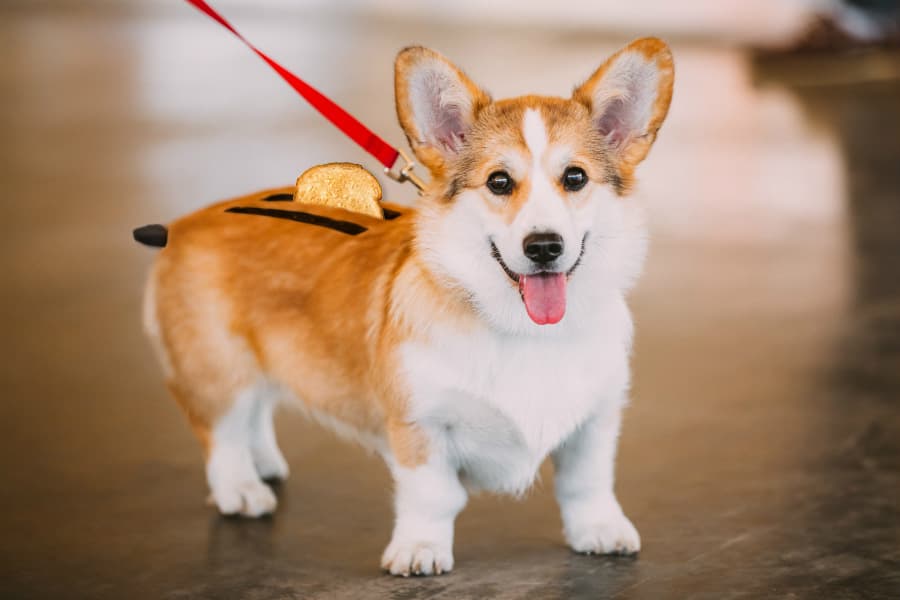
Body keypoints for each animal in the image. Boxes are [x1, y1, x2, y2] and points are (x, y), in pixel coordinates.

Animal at [142, 38, 676, 576]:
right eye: (499, 182)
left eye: (575, 177)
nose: (544, 246)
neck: (523, 330)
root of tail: (181, 224)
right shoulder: (420, 423)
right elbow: (434, 496)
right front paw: (420, 549)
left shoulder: (595, 420)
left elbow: (586, 483)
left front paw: (600, 530)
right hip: (217, 369)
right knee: (222, 431)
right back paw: (241, 488)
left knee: (256, 408)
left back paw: (265, 463)